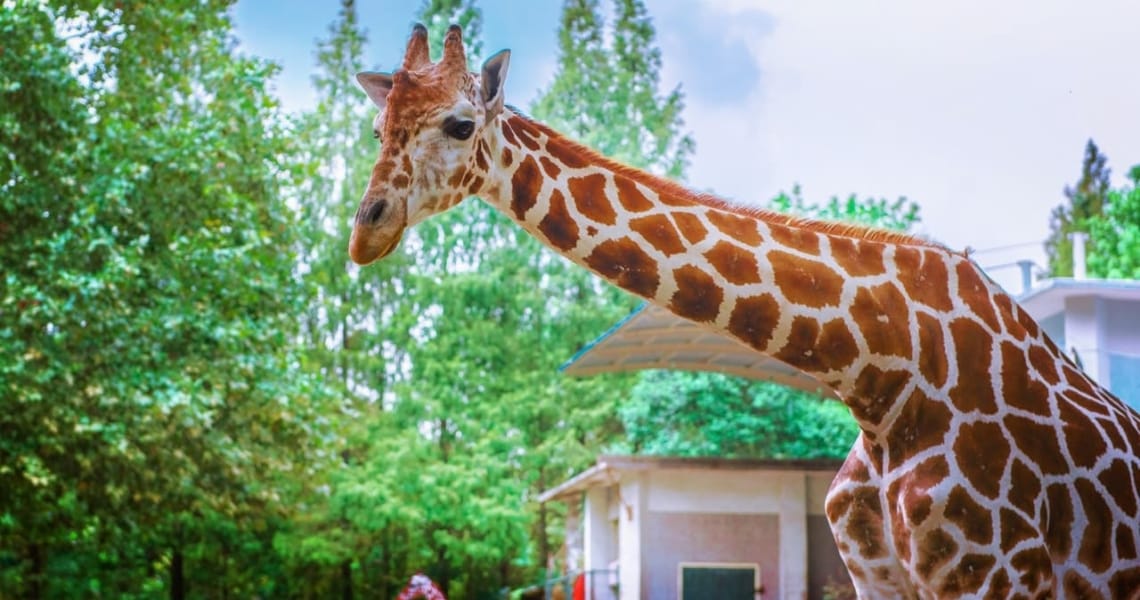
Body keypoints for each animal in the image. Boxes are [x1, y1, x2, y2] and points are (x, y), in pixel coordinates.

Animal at [349, 24, 1140, 598]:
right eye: (379, 129)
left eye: (459, 125)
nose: (366, 232)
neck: (880, 373)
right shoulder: (883, 576)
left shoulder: (995, 574)